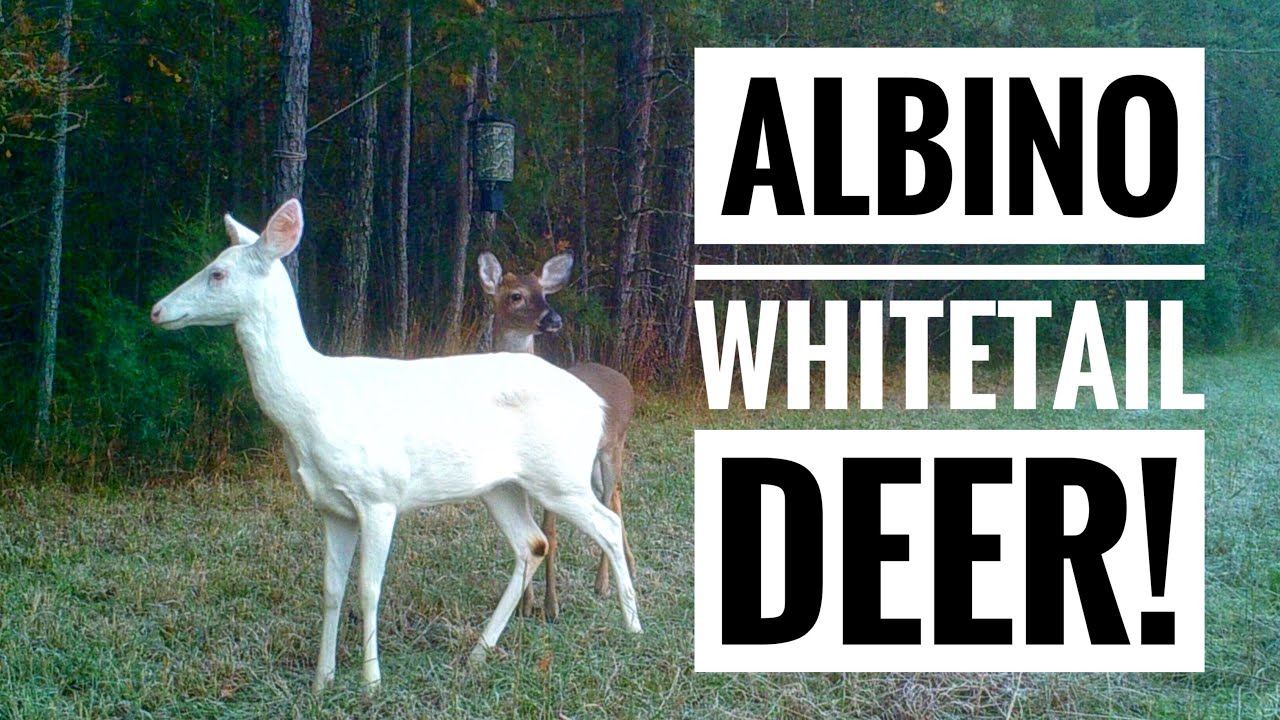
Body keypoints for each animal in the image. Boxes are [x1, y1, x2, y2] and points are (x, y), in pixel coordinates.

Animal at [478, 251, 636, 622]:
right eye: (516, 295)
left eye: (545, 293)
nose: (554, 318)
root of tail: (624, 379)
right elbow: (530, 537)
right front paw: (526, 605)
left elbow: (549, 532)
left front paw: (551, 607)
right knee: (615, 497)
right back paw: (628, 568)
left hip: (613, 447)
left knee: (610, 499)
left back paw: (603, 584)